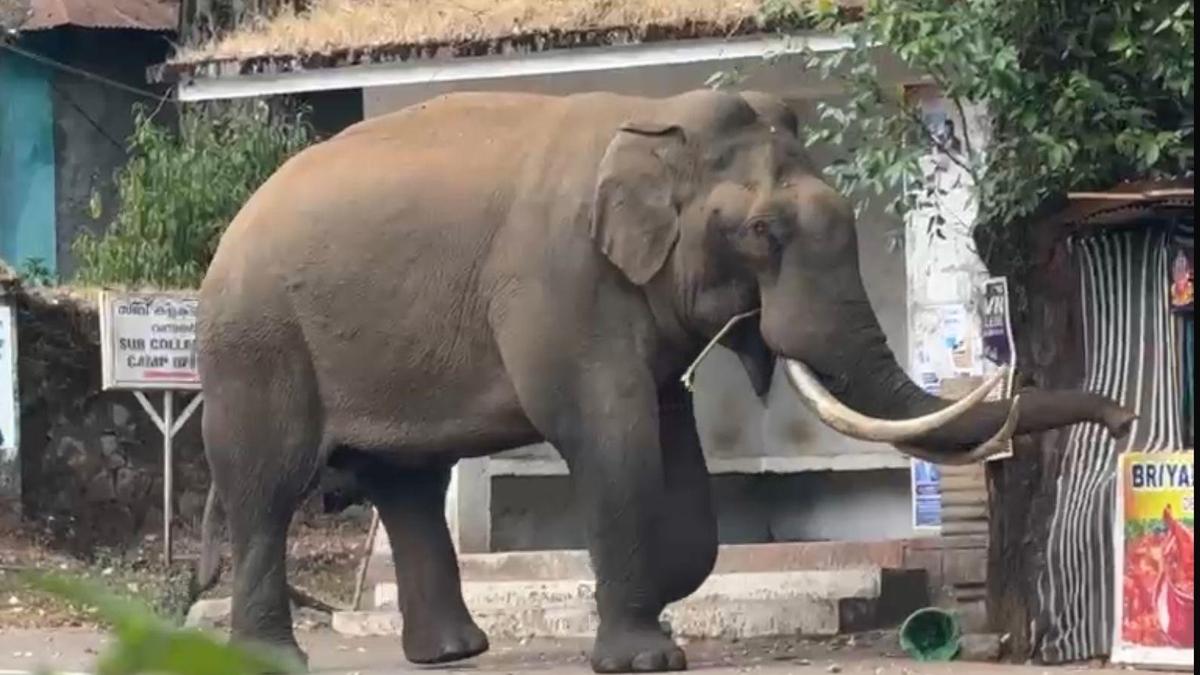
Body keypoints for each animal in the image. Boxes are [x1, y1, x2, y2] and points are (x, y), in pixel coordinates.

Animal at [195, 89, 1135, 674]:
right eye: (761, 234)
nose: (1127, 421)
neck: (652, 124)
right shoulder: (560, 283)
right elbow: (610, 434)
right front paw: (647, 654)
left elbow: (669, 430)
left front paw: (658, 593)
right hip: (256, 343)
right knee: (268, 487)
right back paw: (273, 656)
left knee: (410, 486)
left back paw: (455, 651)